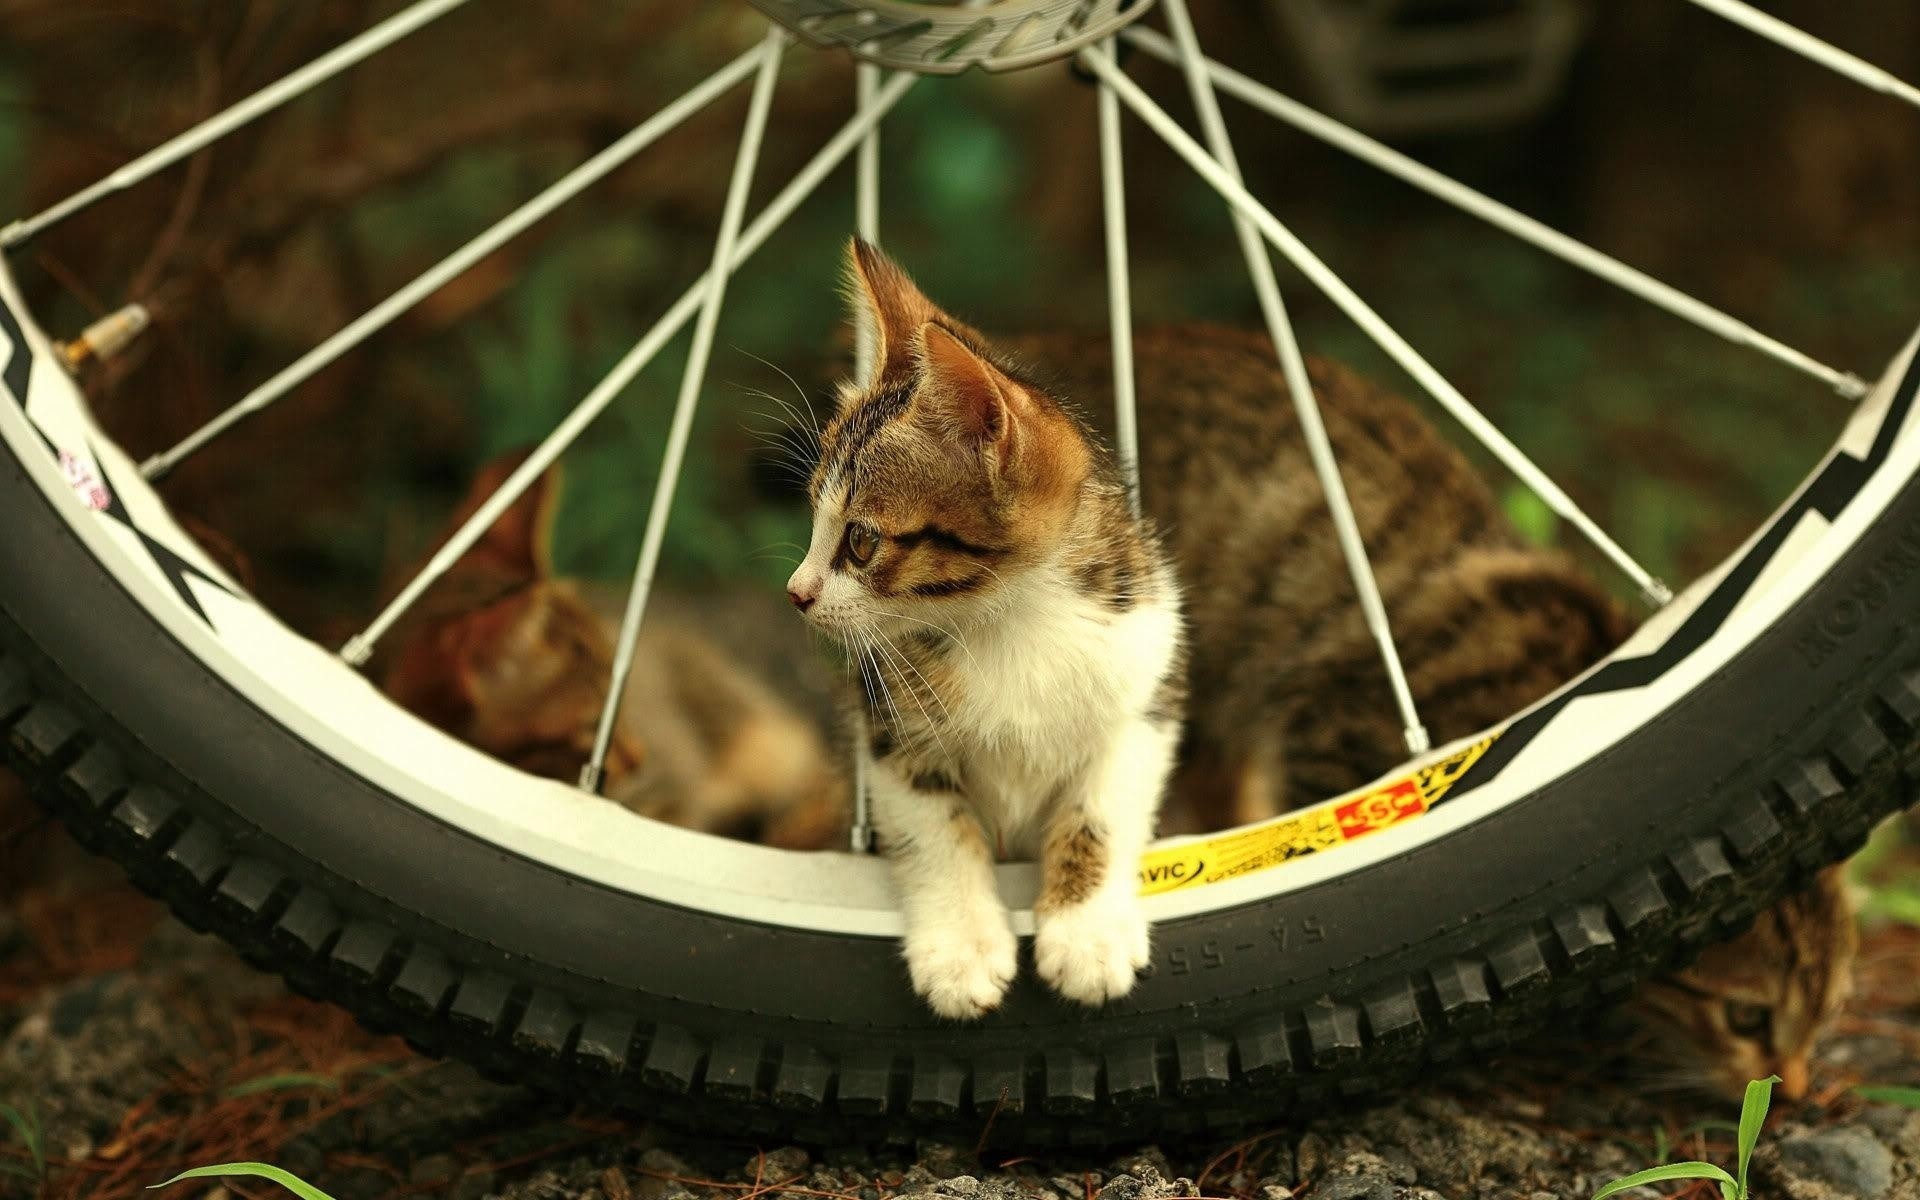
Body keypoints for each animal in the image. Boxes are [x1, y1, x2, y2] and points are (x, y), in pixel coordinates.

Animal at [783, 239, 1182, 1013]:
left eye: (861, 542)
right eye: (814, 516)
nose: (797, 592)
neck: (1009, 620)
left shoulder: (1146, 683)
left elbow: (1102, 808)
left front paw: (1087, 933)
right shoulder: (889, 727)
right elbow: (936, 825)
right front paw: (962, 948)